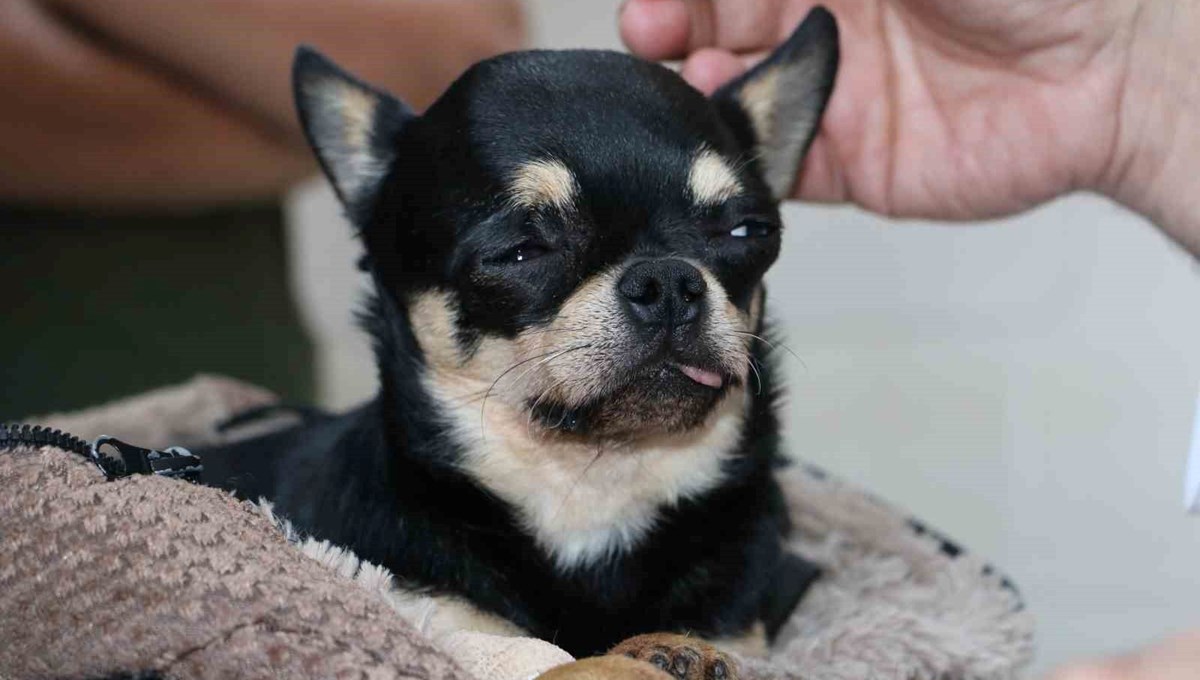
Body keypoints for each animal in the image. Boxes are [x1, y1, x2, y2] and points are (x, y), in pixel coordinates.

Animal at [199, 7, 835, 676]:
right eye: (522, 251)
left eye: (748, 232)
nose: (667, 280)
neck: (590, 491)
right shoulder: (443, 616)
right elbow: (544, 658)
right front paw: (626, 660)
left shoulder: (739, 626)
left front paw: (668, 648)